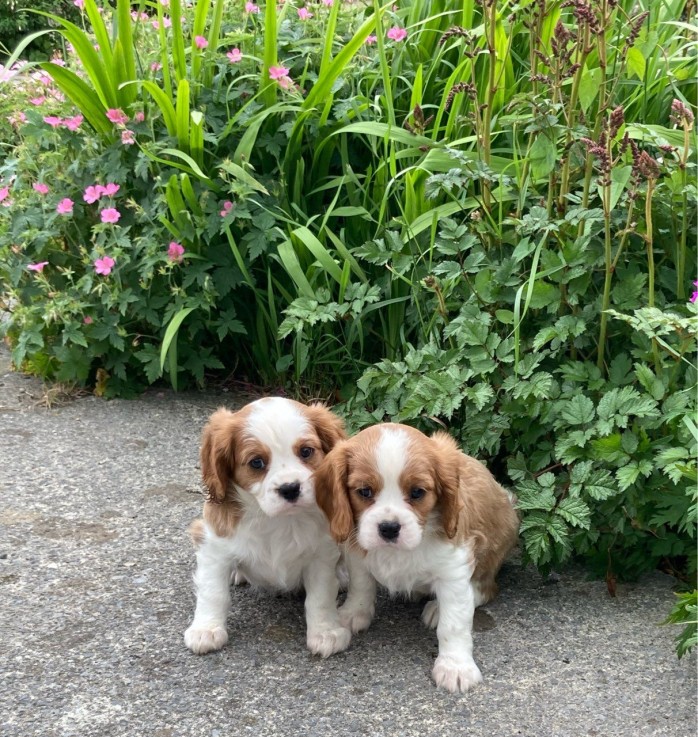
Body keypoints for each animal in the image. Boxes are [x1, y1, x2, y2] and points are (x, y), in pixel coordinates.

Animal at [184, 400, 350, 660]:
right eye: (256, 462)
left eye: (306, 452)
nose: (290, 488)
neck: (278, 520)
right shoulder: (213, 545)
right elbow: (213, 592)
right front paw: (206, 630)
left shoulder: (321, 555)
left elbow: (320, 597)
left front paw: (325, 632)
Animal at [312, 422, 520, 692]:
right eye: (364, 491)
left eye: (418, 492)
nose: (389, 527)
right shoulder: (358, 551)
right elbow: (361, 585)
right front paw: (352, 613)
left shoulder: (453, 569)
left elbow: (454, 623)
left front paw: (455, 666)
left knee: (484, 588)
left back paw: (438, 608)